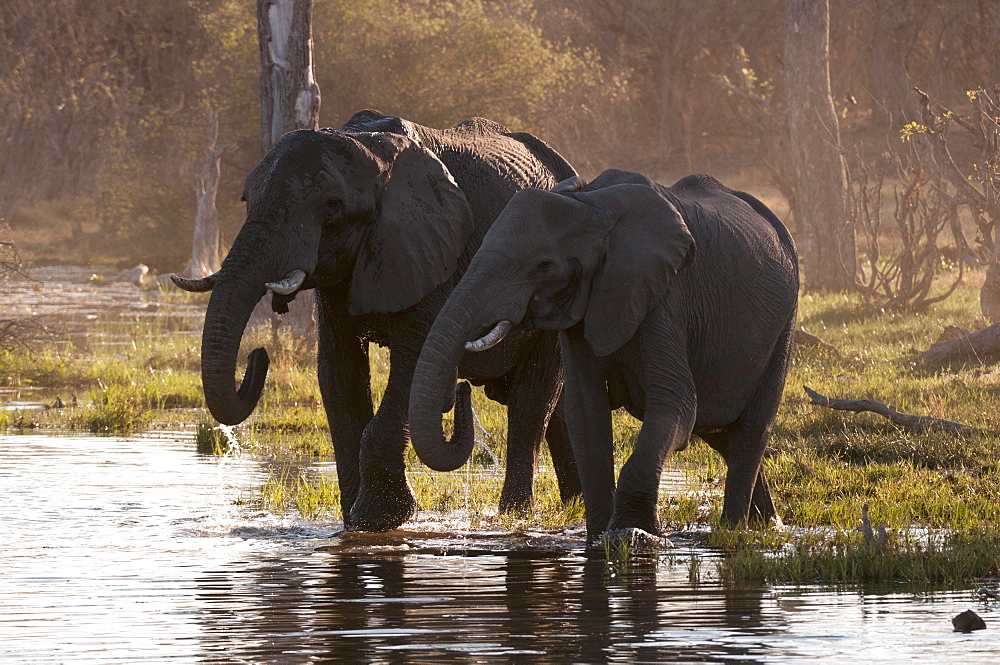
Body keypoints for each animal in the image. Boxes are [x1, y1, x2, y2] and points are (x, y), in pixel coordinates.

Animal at [170, 111, 580, 532]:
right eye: (246, 199)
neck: (371, 150)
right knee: (558, 409)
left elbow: (412, 364)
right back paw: (573, 506)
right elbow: (338, 372)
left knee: (531, 405)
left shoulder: (434, 252)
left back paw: (516, 515)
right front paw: (353, 521)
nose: (258, 357)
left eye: (333, 205)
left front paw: (377, 519)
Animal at [406, 169, 796, 544]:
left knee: (749, 431)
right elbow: (585, 411)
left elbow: (676, 404)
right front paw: (598, 538)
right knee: (720, 431)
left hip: (784, 327)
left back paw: (735, 530)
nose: (460, 389)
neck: (590, 206)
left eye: (543, 265)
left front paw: (634, 534)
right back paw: (766, 525)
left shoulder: (664, 294)